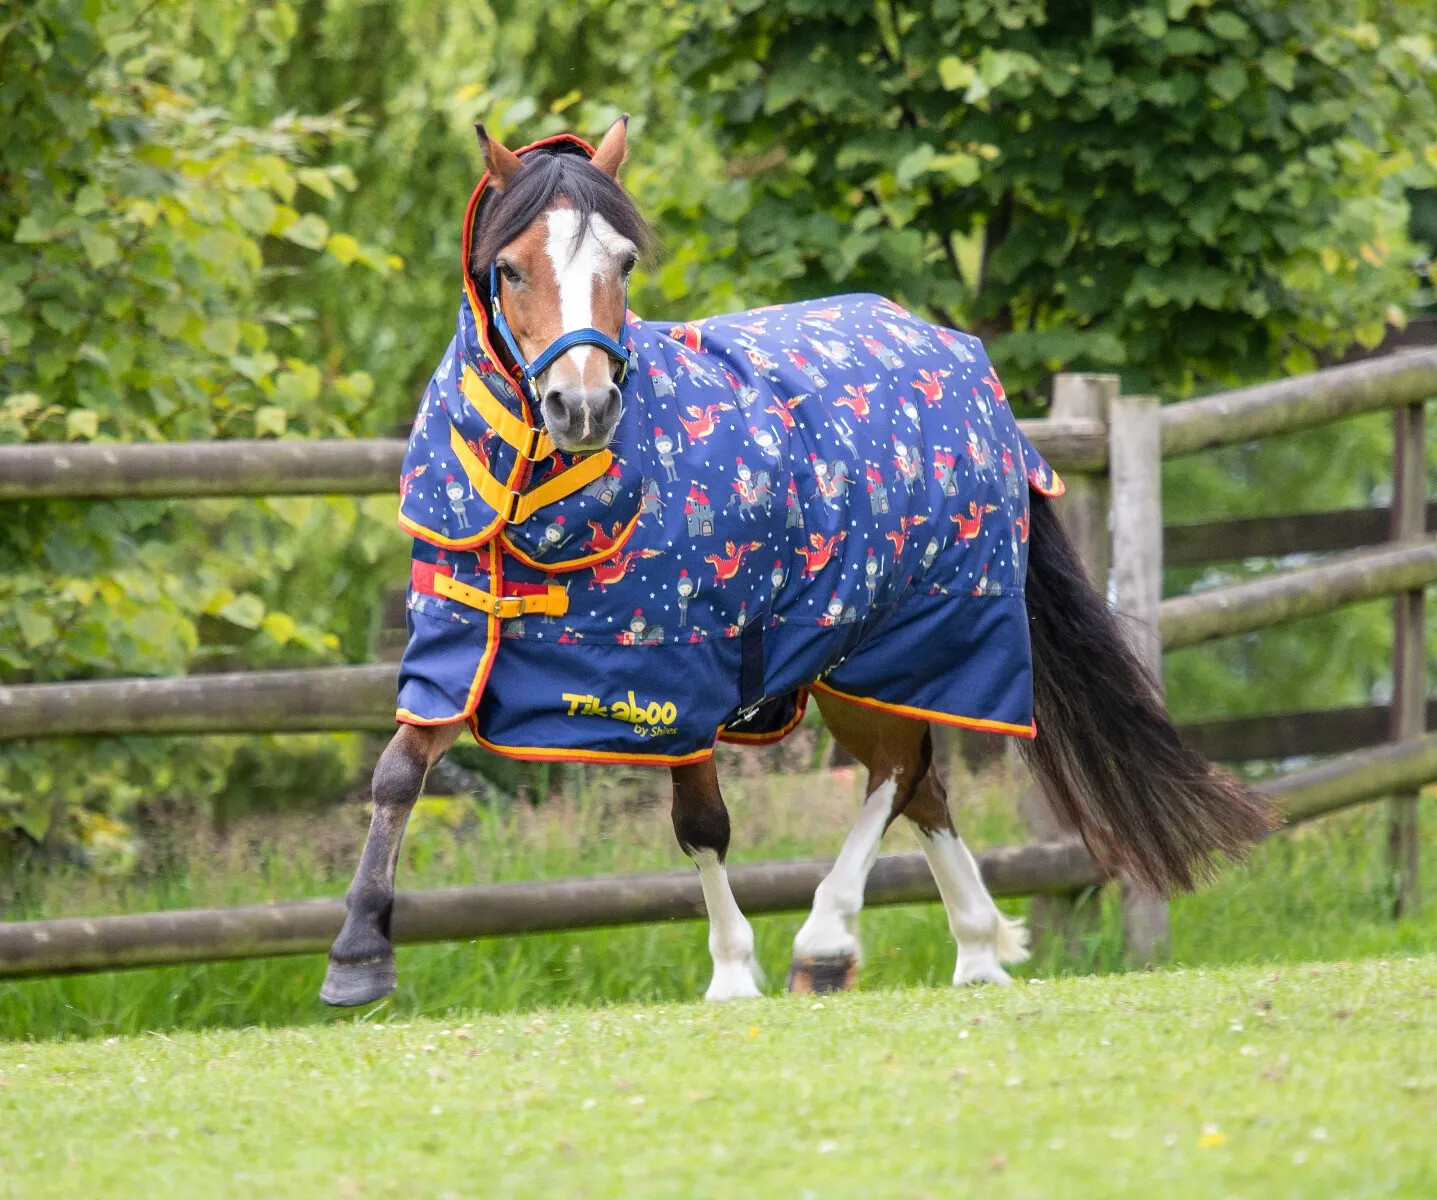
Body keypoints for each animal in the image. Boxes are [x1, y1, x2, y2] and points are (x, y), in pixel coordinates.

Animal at [319, 120, 1275, 1008]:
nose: (582, 406)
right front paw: (358, 956)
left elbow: (700, 822)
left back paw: (828, 942)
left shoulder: (678, 667)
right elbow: (399, 769)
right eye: (511, 269)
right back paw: (975, 950)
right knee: (921, 786)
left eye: (622, 264)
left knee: (900, 773)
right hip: (847, 662)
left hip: (904, 640)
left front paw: (733, 971)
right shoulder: (464, 650)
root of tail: (959, 363)